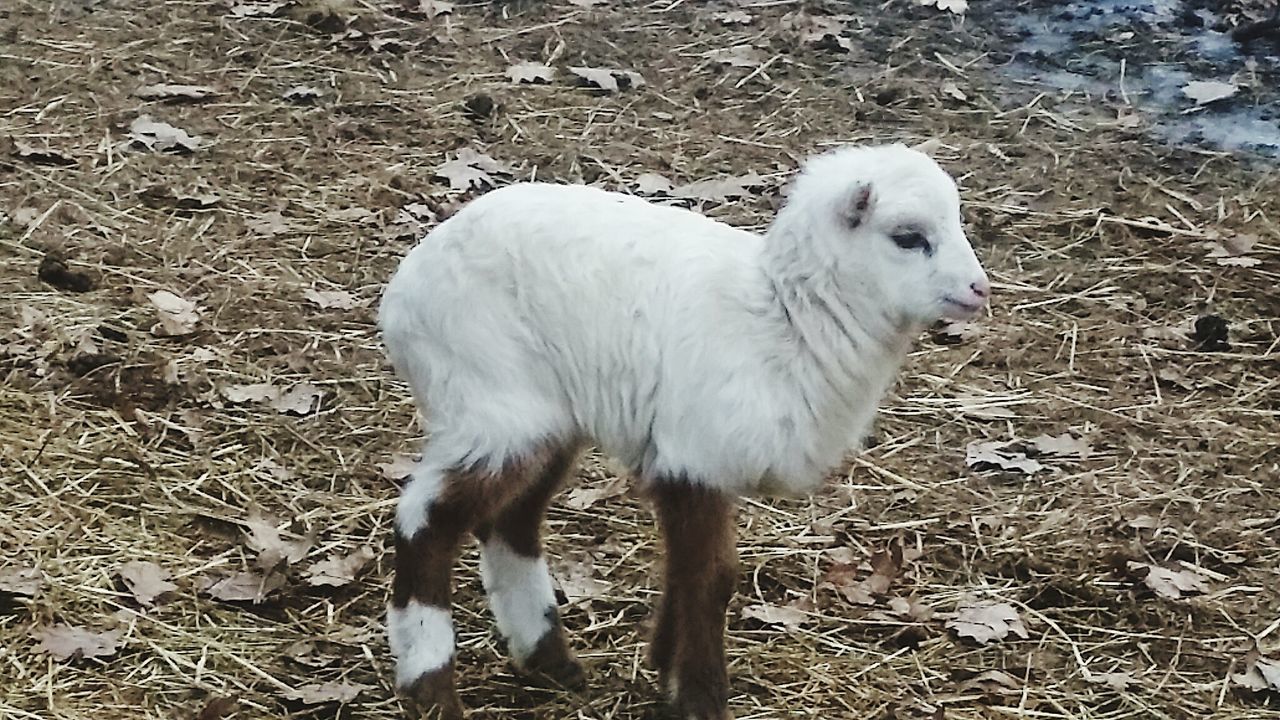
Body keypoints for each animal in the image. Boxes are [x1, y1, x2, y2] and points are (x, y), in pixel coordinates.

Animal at [373, 141, 993, 717]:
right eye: (908, 237)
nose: (979, 290)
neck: (783, 321)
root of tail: (402, 293)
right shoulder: (695, 455)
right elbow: (712, 577)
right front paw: (698, 697)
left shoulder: (683, 458)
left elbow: (684, 568)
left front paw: (663, 664)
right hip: (491, 398)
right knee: (425, 523)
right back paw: (431, 689)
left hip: (546, 415)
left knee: (510, 524)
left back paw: (549, 662)